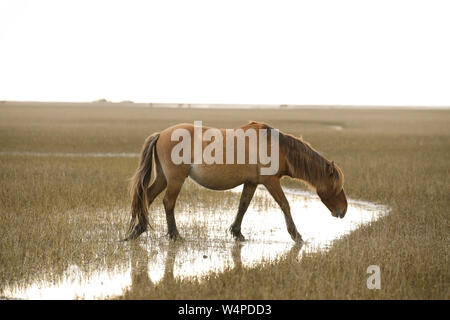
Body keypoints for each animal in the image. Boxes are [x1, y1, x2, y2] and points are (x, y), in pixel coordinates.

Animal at [124, 121, 348, 244]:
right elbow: (285, 205)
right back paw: (174, 235)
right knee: (168, 203)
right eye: (336, 187)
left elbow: (243, 206)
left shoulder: (251, 183)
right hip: (175, 180)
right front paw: (297, 236)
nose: (344, 210)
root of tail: (161, 134)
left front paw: (237, 232)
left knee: (147, 197)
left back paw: (138, 230)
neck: (276, 147)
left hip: (164, 178)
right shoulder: (271, 182)